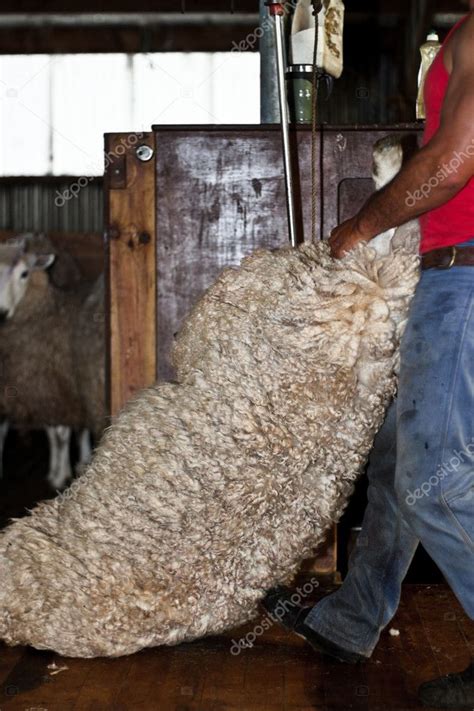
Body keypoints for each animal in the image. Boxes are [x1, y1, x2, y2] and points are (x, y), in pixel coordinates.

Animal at [0, 238, 104, 490]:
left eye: (24, 273)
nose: (1, 312)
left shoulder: (58, 386)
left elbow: (61, 433)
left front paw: (60, 475)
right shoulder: (44, 386)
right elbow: (53, 431)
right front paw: (59, 469)